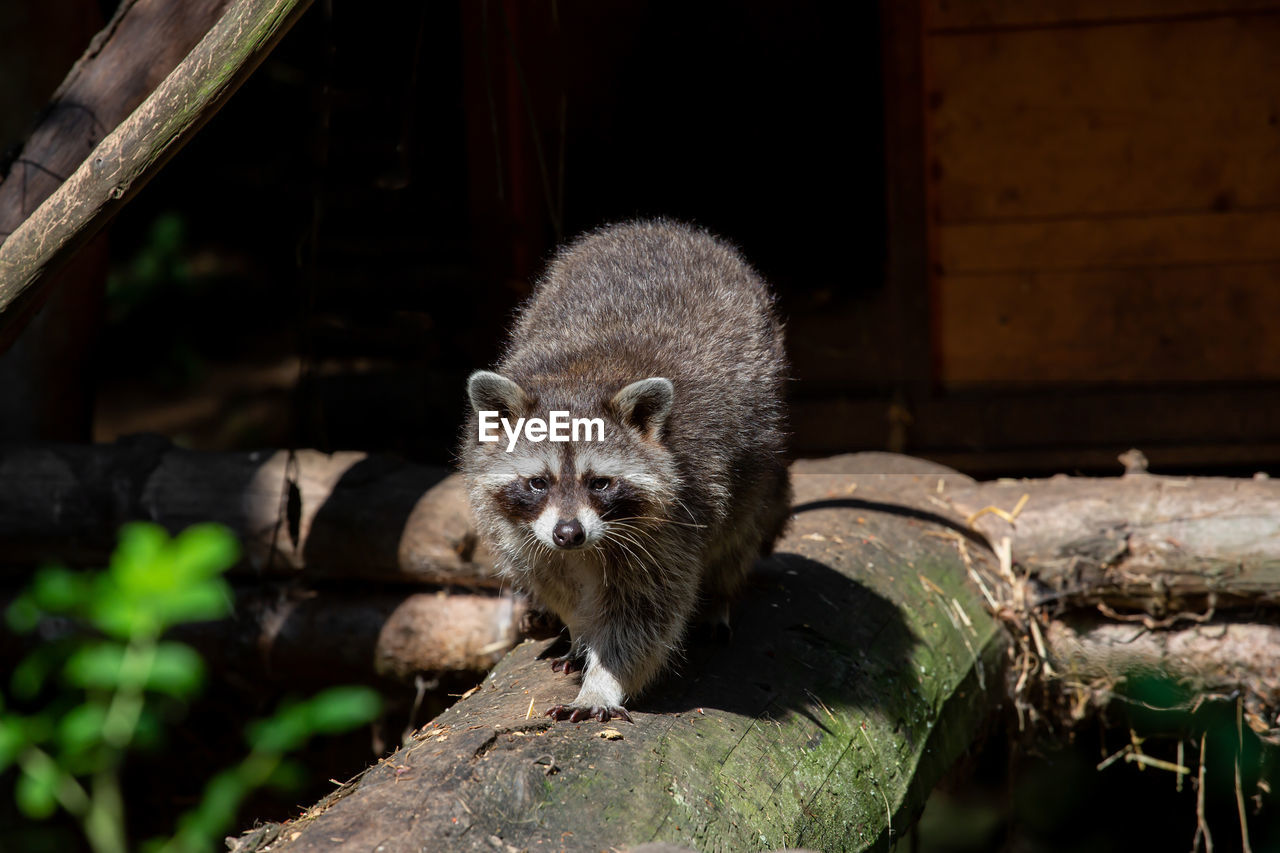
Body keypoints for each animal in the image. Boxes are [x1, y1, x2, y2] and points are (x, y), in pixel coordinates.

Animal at [463, 217, 788, 717]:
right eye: (538, 482)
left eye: (600, 483)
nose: (569, 534)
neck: (581, 376)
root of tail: (661, 226)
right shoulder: (515, 525)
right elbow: (552, 577)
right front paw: (578, 631)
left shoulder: (679, 512)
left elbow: (646, 612)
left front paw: (603, 681)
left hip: (760, 443)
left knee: (740, 531)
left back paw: (720, 594)